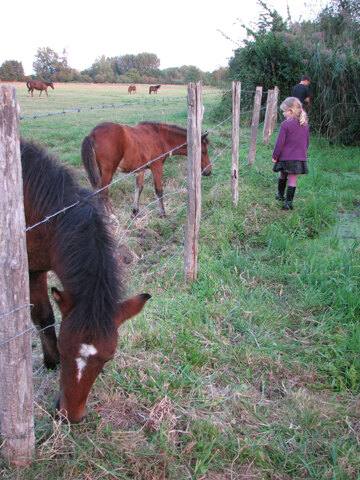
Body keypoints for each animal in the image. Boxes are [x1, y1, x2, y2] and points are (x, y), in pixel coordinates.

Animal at [21, 137, 150, 422]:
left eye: (107, 358)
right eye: (62, 347)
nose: (71, 416)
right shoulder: (32, 271)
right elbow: (43, 316)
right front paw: (51, 362)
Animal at [80, 121, 212, 217]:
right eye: (204, 151)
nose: (208, 171)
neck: (160, 137)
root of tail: (92, 134)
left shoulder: (140, 169)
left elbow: (139, 188)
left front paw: (135, 211)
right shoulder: (157, 166)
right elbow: (159, 190)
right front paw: (163, 214)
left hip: (98, 170)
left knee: (97, 191)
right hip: (108, 170)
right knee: (103, 192)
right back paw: (112, 217)